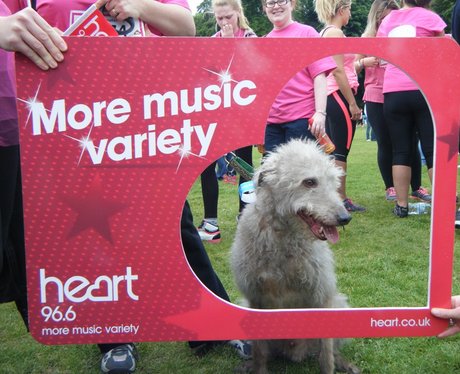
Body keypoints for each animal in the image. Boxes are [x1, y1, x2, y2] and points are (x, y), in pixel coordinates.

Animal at [230, 139, 360, 372]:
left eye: (333, 181)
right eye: (309, 182)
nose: (345, 218)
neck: (284, 236)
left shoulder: (322, 296)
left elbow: (327, 357)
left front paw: (331, 366)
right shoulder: (255, 299)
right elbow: (259, 353)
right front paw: (257, 368)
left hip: (338, 305)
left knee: (328, 350)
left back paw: (343, 362)